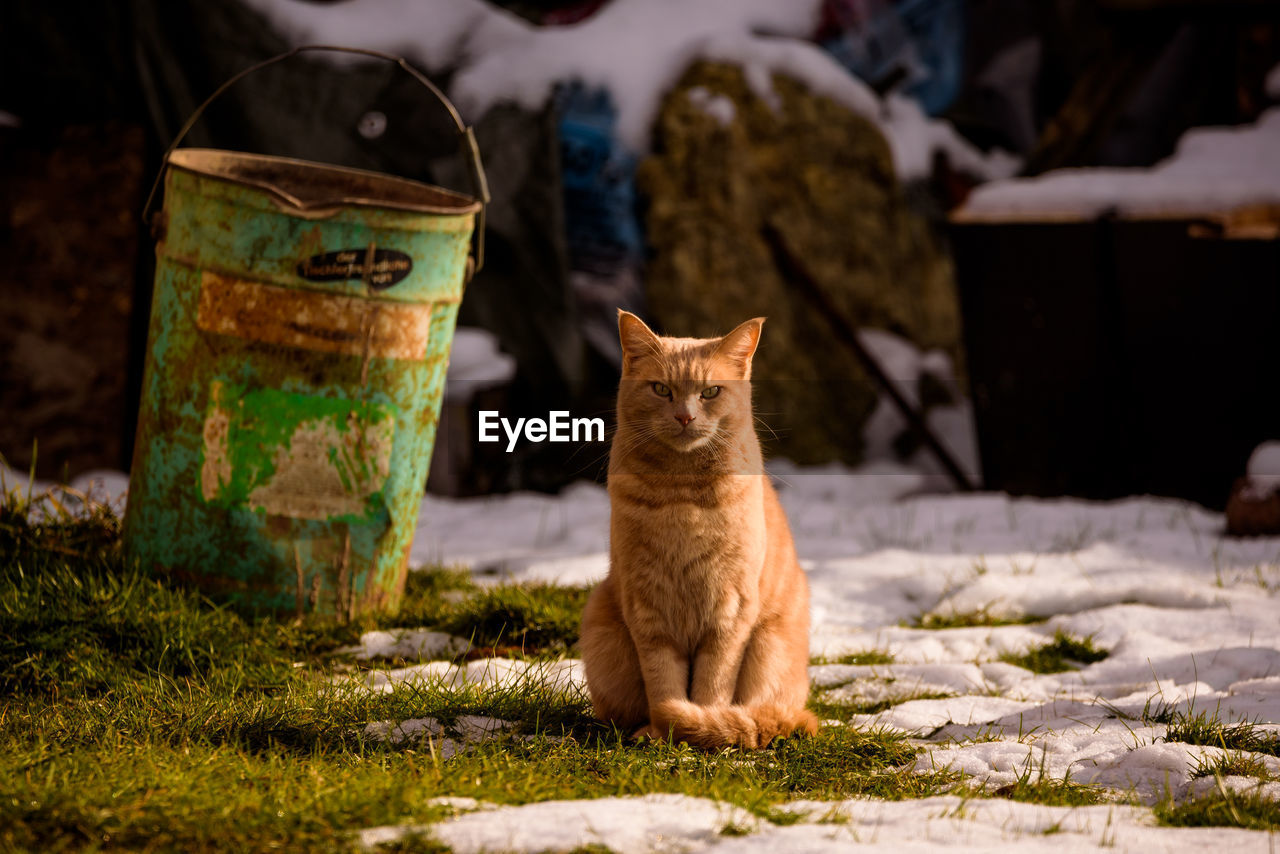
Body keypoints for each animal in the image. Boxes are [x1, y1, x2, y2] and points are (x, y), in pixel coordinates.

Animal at [583, 312, 819, 747]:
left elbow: (712, 686)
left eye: (710, 392)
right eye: (661, 389)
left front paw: (701, 725)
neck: (682, 497)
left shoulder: (729, 613)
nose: (684, 416)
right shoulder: (648, 610)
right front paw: (664, 729)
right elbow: (663, 682)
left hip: (769, 647)